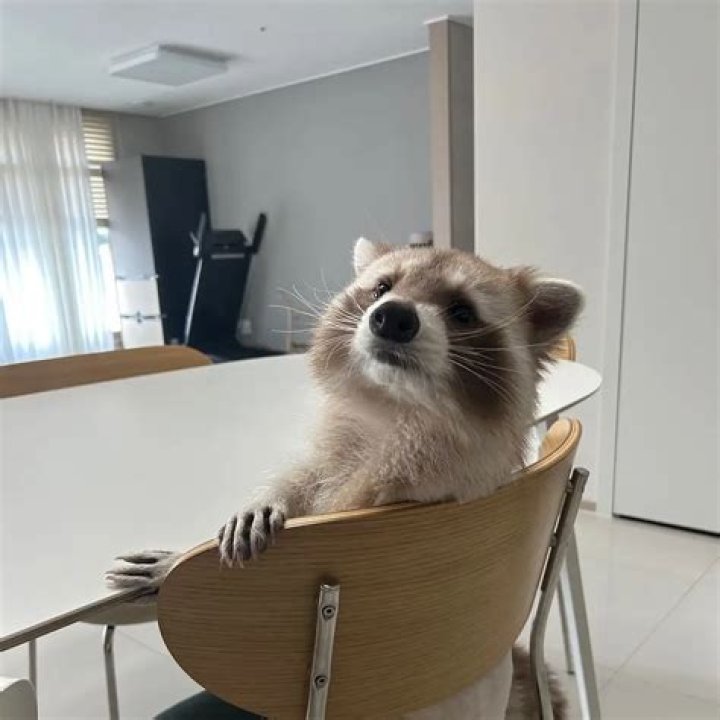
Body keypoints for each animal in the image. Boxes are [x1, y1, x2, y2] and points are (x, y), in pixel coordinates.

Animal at [107, 239, 582, 719]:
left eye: (462, 312)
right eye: (382, 288)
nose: (392, 316)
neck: (395, 408)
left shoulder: (422, 488)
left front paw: (173, 569)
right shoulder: (334, 454)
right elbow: (307, 478)